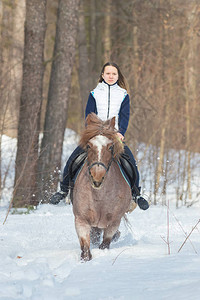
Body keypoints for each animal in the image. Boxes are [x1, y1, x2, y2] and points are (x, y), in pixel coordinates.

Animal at [72, 112, 136, 260]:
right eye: (89, 146)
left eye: (111, 146)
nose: (97, 177)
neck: (100, 196)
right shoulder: (81, 220)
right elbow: (85, 249)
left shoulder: (113, 222)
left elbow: (105, 244)